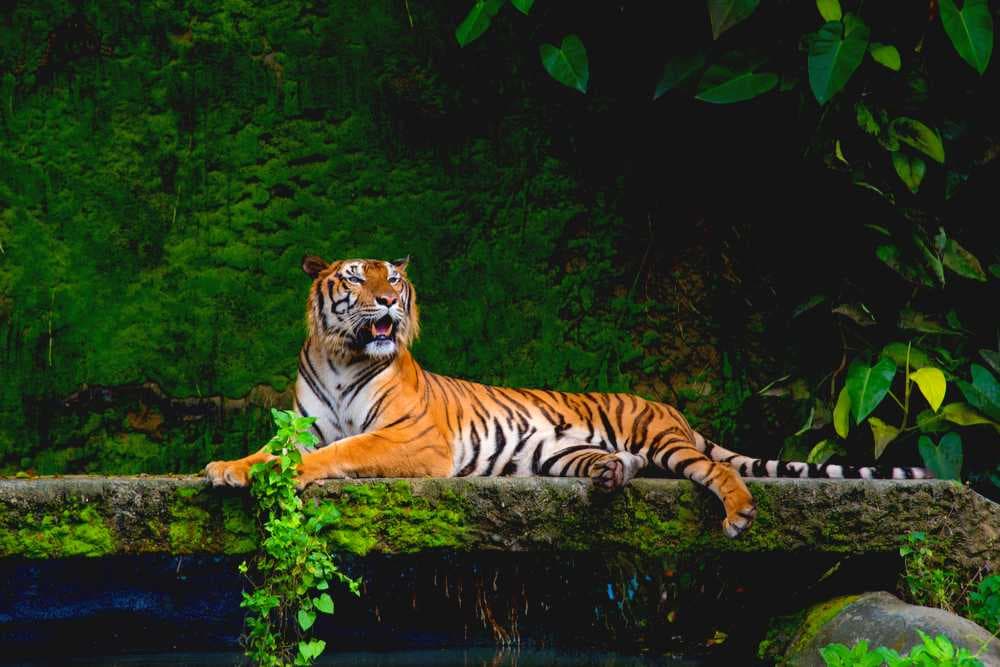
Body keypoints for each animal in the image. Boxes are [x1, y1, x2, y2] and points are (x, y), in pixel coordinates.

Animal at [204, 255, 931, 537]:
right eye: (355, 278)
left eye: (394, 280)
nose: (387, 301)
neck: (342, 354)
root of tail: (672, 409)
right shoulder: (299, 425)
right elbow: (267, 451)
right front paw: (226, 469)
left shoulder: (412, 437)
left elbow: (335, 454)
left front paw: (286, 475)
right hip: (558, 452)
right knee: (615, 465)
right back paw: (610, 474)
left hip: (664, 441)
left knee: (713, 467)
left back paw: (739, 511)